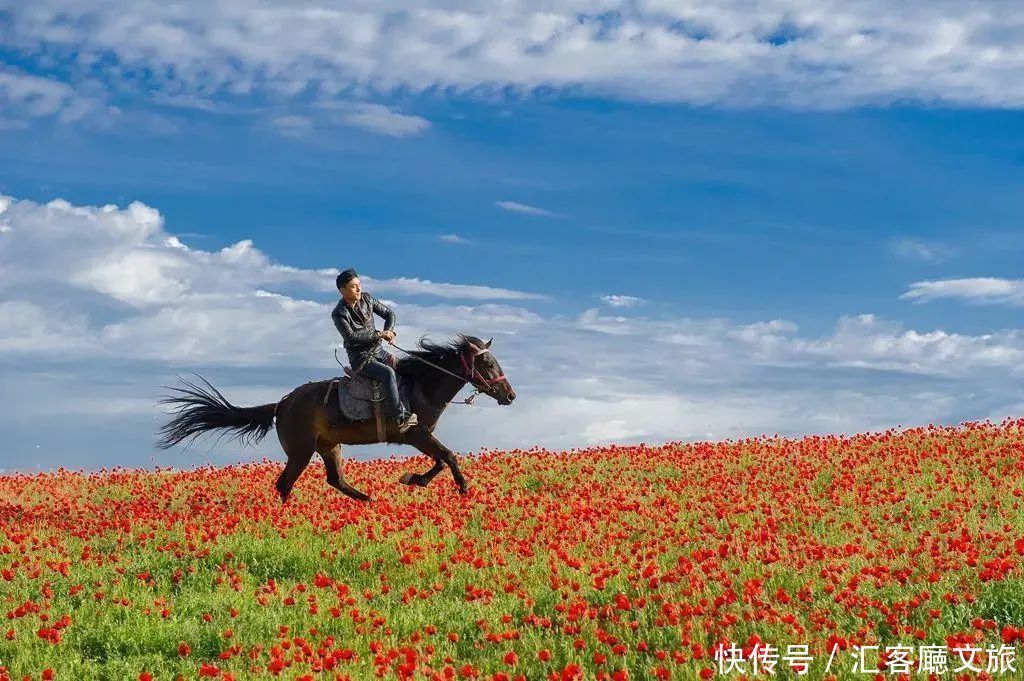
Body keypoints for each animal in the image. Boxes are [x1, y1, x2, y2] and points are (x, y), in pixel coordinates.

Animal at [154, 333, 516, 499]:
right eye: (487, 364)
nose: (510, 396)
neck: (420, 385)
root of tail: (280, 404)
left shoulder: (420, 436)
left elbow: (441, 460)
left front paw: (414, 479)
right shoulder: (415, 433)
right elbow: (449, 457)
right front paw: (462, 488)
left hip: (329, 446)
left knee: (335, 479)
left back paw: (367, 500)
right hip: (301, 450)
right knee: (285, 483)